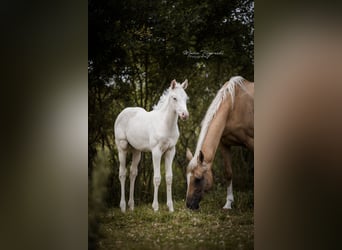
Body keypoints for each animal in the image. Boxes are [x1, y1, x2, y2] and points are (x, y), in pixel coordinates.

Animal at [115, 79, 190, 212]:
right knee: (122, 174)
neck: (165, 124)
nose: (184, 115)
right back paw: (123, 207)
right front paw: (155, 207)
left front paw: (170, 207)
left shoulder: (170, 151)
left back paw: (131, 206)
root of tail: (122, 113)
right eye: (174, 98)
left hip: (136, 150)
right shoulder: (156, 152)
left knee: (133, 173)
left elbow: (169, 178)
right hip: (122, 148)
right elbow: (157, 178)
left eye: (186, 98)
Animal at [184, 76, 254, 209]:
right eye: (187, 177)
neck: (233, 107)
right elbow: (228, 173)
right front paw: (228, 204)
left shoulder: (251, 142)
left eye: (198, 178)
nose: (189, 205)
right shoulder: (224, 144)